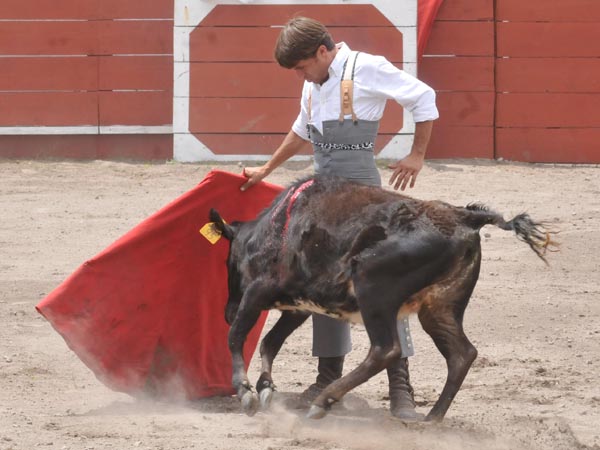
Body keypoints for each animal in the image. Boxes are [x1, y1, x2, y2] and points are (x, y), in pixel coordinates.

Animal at [209, 174, 556, 420]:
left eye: (228, 261)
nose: (226, 311)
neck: (270, 229)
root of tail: (463, 217)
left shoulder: (259, 291)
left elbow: (236, 336)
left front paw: (246, 391)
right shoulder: (299, 307)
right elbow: (270, 342)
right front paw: (265, 388)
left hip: (372, 288)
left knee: (386, 349)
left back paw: (324, 402)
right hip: (440, 308)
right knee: (462, 353)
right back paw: (432, 417)